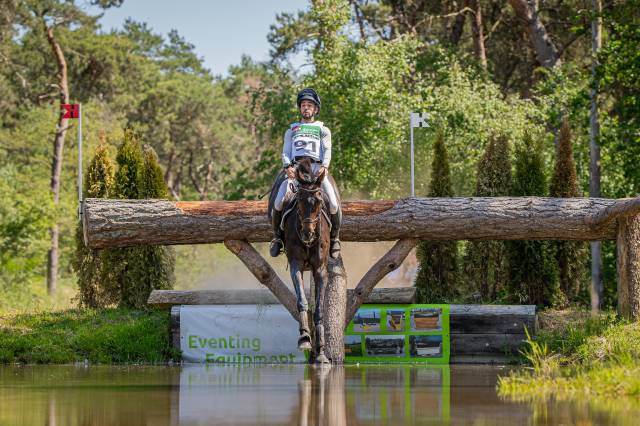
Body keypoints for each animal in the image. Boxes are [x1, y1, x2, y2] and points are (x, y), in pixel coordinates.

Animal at [266, 158, 336, 364]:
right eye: (299, 201)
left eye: (319, 201)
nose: (307, 234)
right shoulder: (296, 265)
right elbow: (302, 301)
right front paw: (305, 338)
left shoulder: (320, 269)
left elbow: (319, 307)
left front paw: (321, 350)